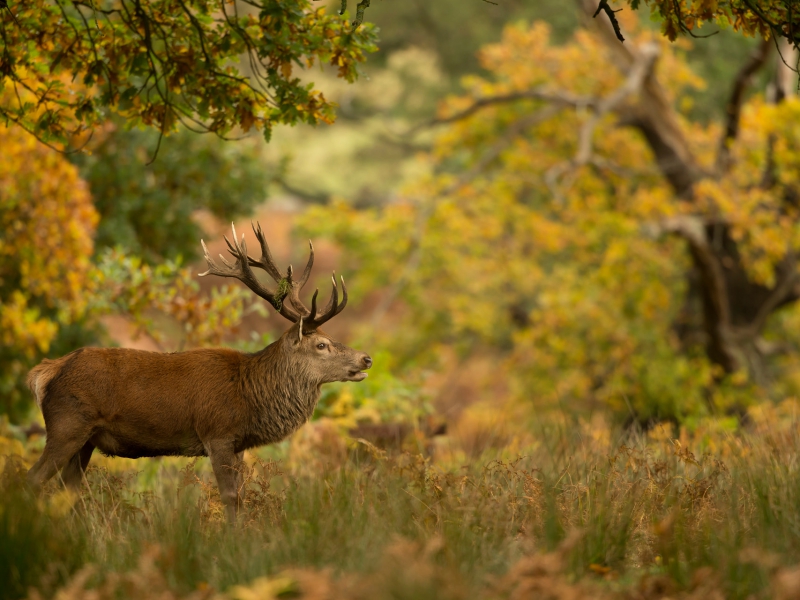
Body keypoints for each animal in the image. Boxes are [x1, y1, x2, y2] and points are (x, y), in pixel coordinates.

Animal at [26, 222, 372, 522]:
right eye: (322, 345)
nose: (366, 358)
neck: (249, 396)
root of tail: (46, 372)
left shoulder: (238, 444)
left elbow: (240, 497)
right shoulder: (217, 432)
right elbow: (230, 497)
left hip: (86, 440)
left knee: (66, 493)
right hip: (67, 425)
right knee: (31, 478)